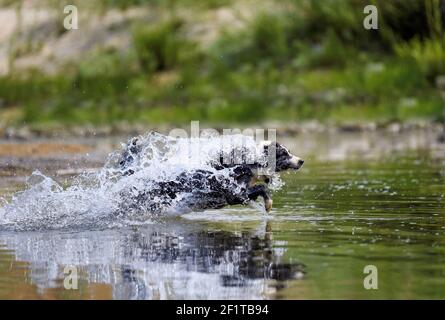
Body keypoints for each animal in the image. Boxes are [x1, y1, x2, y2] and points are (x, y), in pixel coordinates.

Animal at [118, 136, 304, 214]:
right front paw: (268, 204)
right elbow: (262, 187)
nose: (301, 160)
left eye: (289, 151)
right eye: (284, 154)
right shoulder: (234, 193)